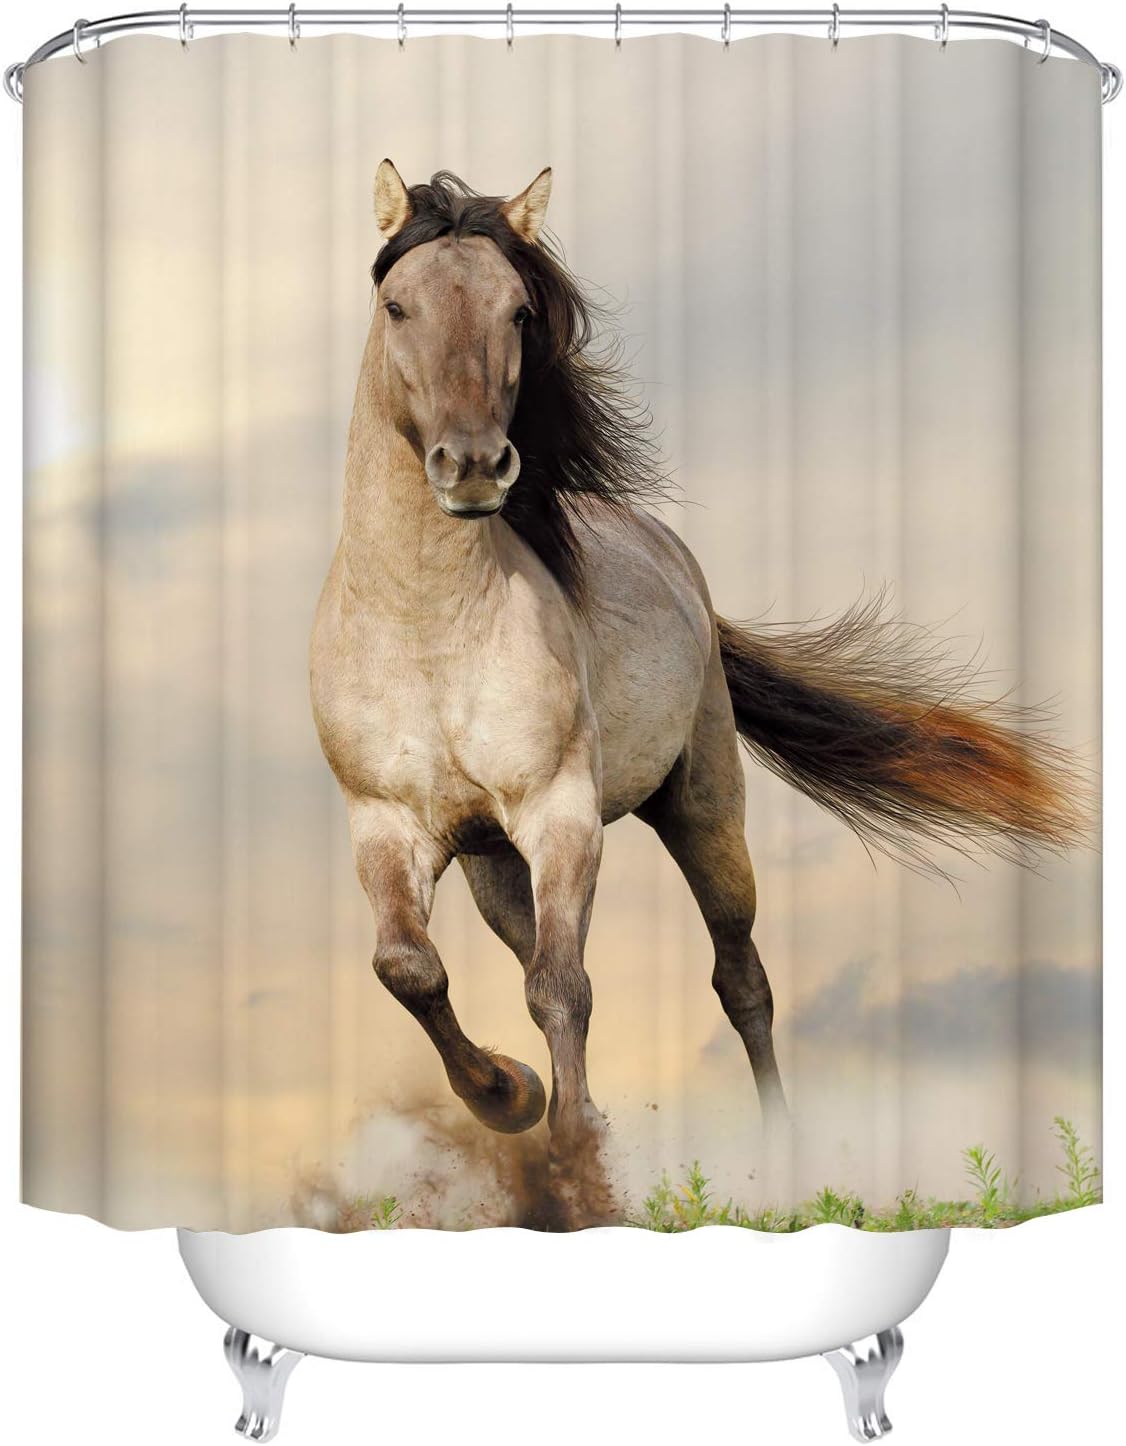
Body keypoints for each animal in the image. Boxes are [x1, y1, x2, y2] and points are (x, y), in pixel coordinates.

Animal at [310, 161, 1083, 1224]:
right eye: (398, 306)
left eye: (518, 311)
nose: (472, 467)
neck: (426, 629)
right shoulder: (386, 824)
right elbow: (412, 969)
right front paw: (512, 1095)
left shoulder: (561, 813)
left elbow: (563, 987)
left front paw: (579, 1174)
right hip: (492, 863)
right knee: (526, 953)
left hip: (704, 807)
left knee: (739, 979)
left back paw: (782, 1163)